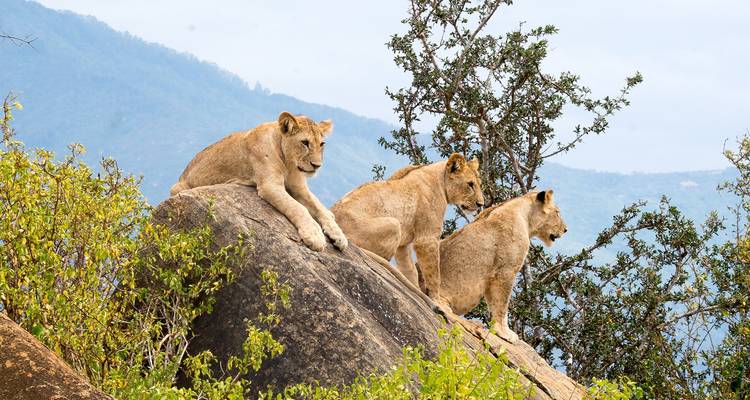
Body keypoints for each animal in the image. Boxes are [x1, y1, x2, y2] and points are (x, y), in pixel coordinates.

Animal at [170, 111, 347, 252]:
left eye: (322, 144)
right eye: (305, 142)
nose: (317, 165)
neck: (288, 163)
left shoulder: (298, 187)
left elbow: (319, 207)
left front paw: (339, 236)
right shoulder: (270, 185)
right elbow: (299, 208)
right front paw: (315, 236)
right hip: (177, 188)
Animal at [331, 153, 484, 304]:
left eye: (479, 185)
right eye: (470, 184)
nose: (481, 204)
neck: (441, 180)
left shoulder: (403, 246)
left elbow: (410, 270)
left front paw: (416, 291)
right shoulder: (426, 240)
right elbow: (434, 274)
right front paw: (436, 300)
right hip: (394, 224)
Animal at [437, 190, 567, 343]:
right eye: (557, 212)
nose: (566, 229)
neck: (526, 217)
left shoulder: (491, 277)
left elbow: (493, 304)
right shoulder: (505, 271)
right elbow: (502, 305)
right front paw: (505, 333)